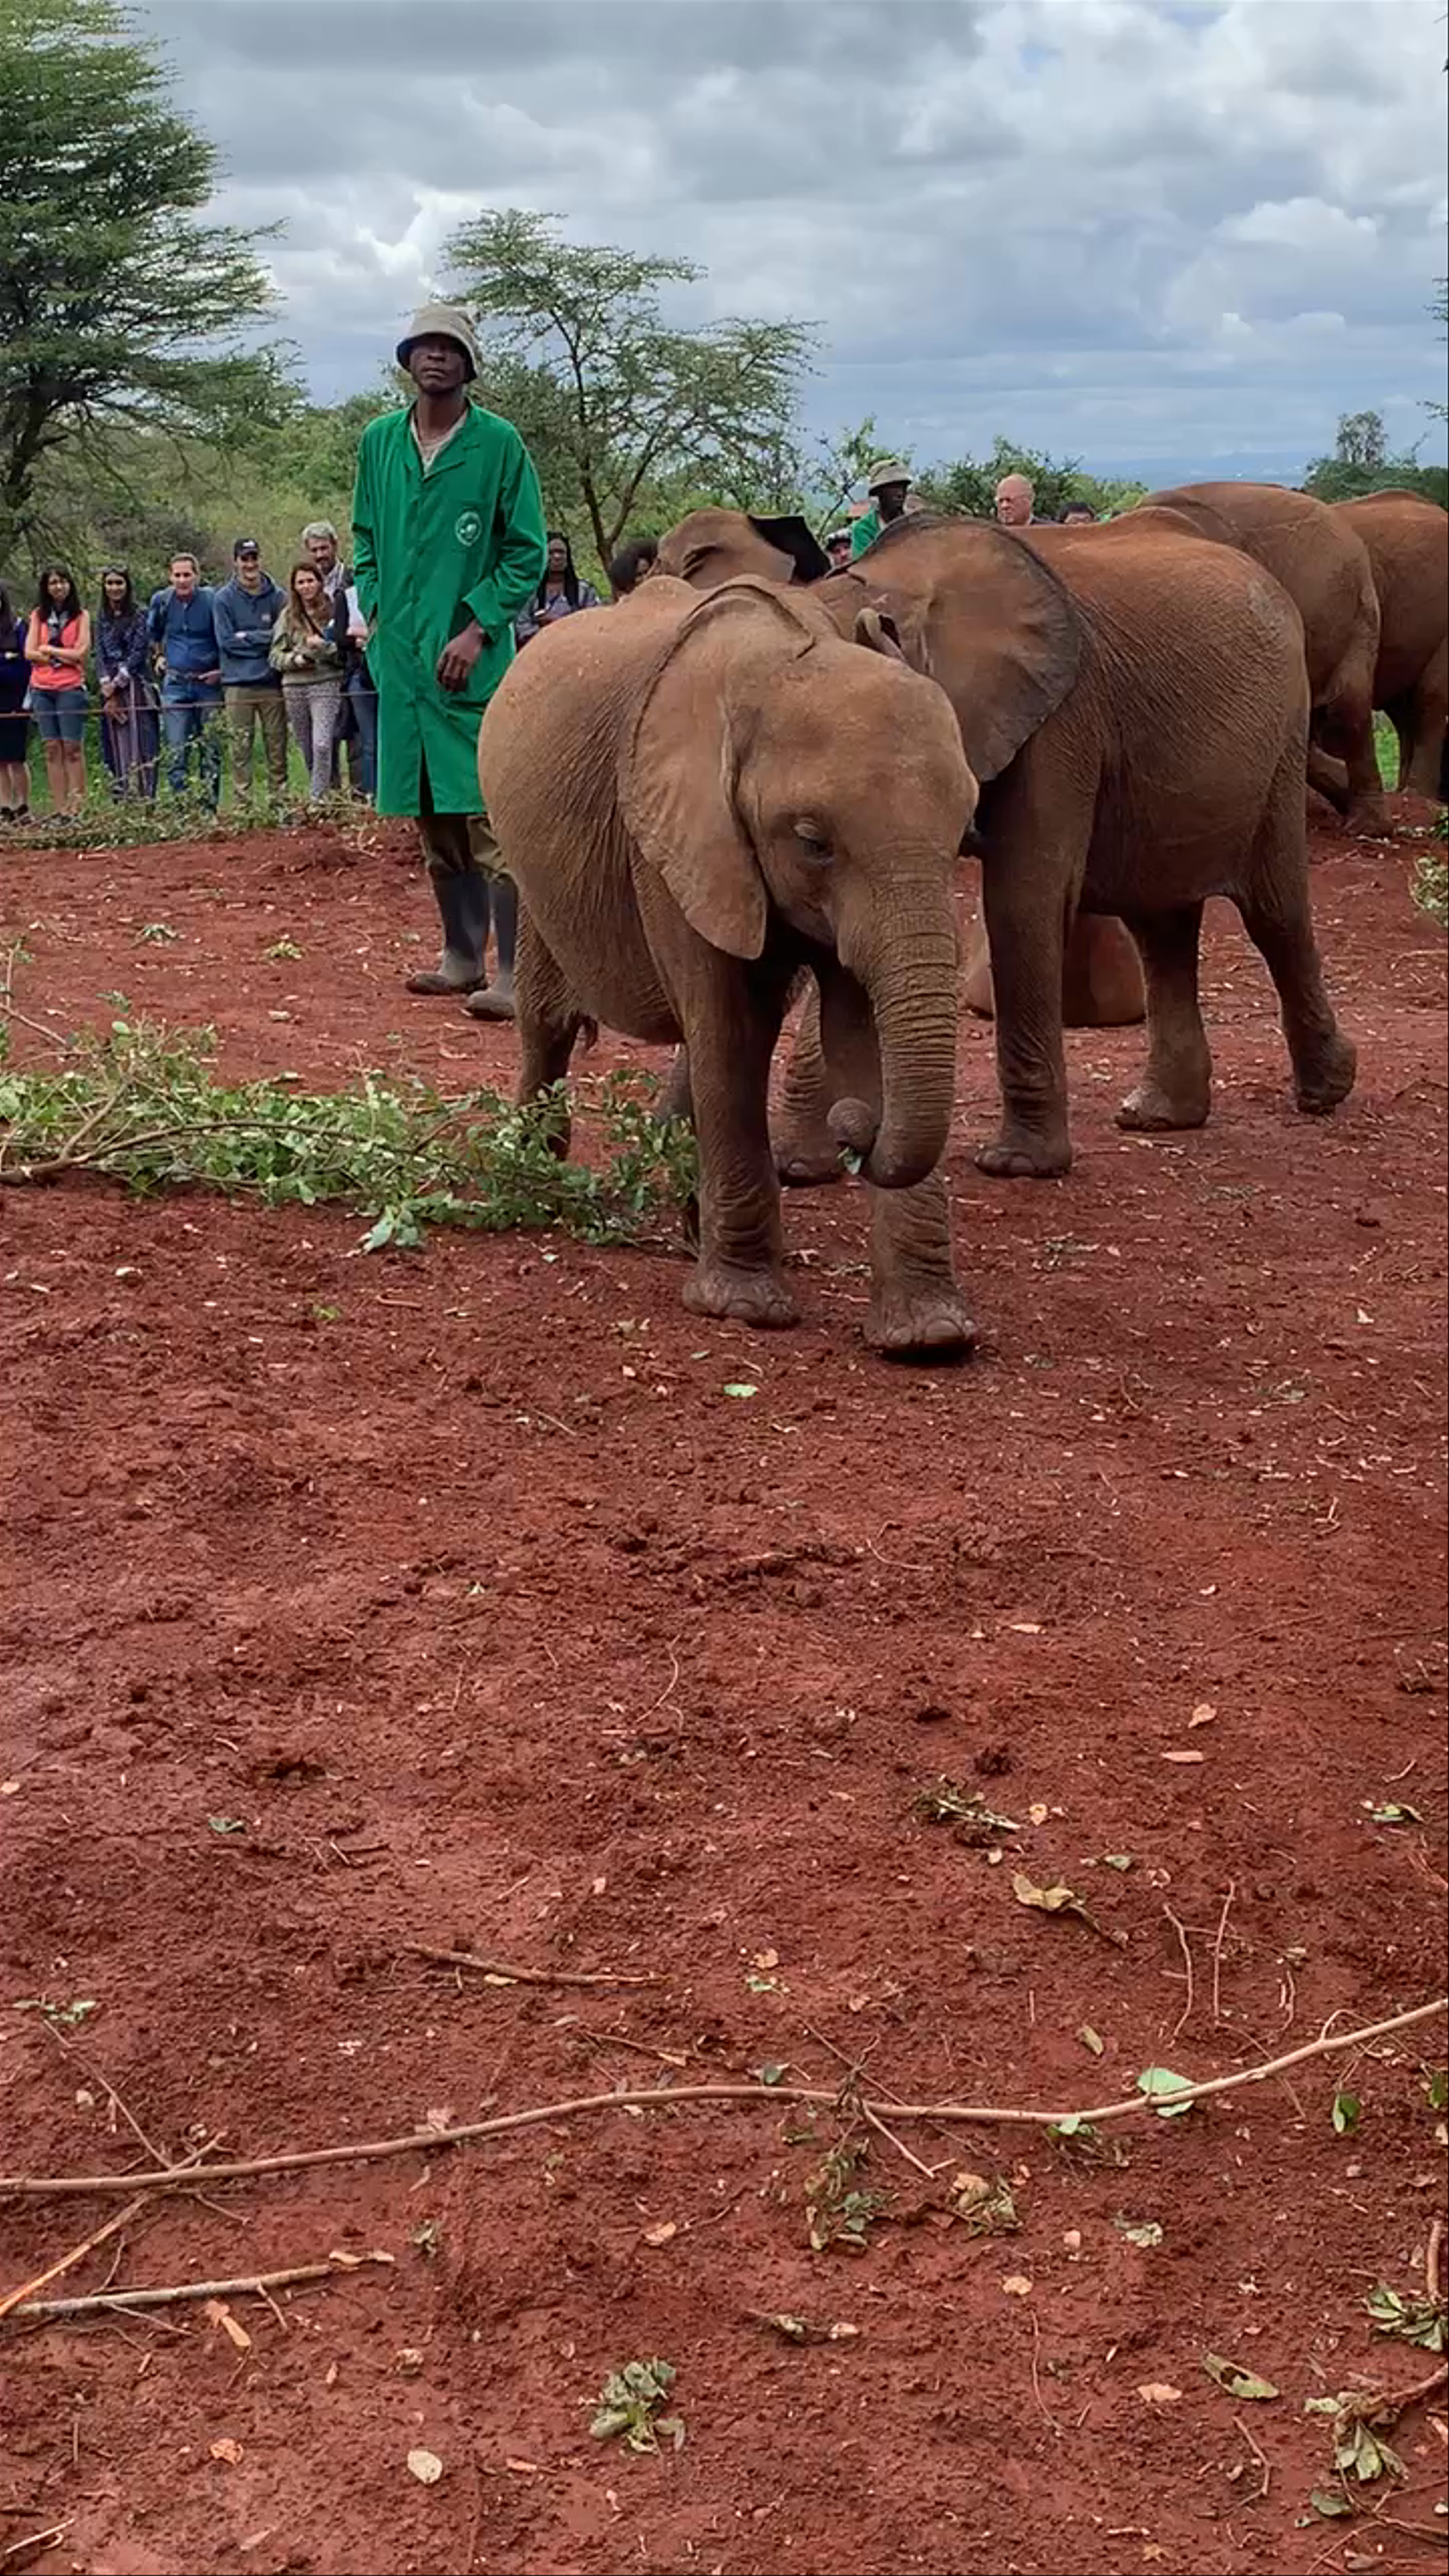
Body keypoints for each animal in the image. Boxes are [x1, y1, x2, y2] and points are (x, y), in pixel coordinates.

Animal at [475, 573, 981, 1356]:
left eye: (966, 828)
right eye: (812, 841)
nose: (855, 1130)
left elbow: (860, 1030)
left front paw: (930, 1337)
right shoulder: (679, 834)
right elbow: (733, 1033)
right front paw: (744, 1310)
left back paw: (690, 1225)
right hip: (535, 863)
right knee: (548, 1017)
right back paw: (533, 1180)